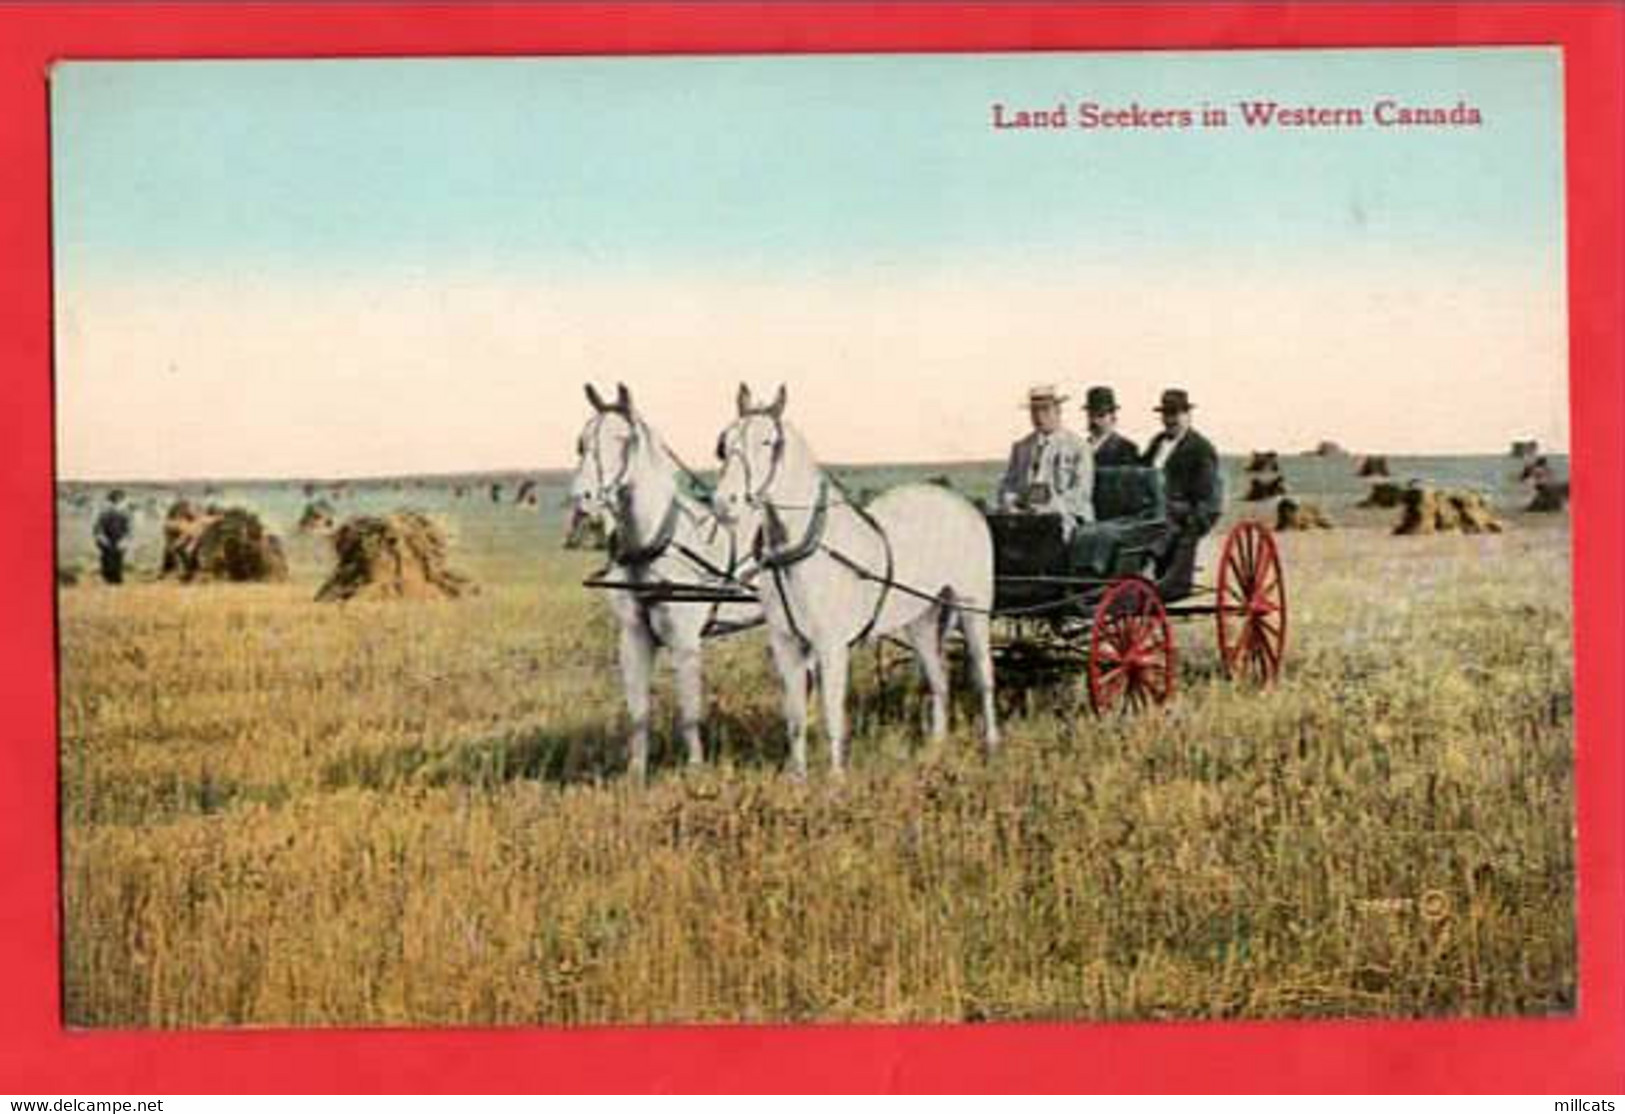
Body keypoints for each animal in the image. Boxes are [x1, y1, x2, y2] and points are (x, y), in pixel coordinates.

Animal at [568, 383, 757, 785]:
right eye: (582, 442)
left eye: (622, 439)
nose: (582, 499)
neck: (656, 545)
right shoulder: (633, 636)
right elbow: (638, 711)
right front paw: (635, 775)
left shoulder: (685, 642)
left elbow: (689, 712)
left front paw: (696, 771)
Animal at [715, 381, 1001, 776]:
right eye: (724, 443)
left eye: (768, 442)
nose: (722, 504)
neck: (805, 551)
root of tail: (960, 504)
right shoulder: (786, 644)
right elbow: (796, 718)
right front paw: (798, 778)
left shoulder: (832, 647)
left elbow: (833, 714)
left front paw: (836, 779)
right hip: (923, 618)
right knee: (939, 680)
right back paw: (937, 747)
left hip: (973, 608)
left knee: (984, 675)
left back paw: (992, 744)